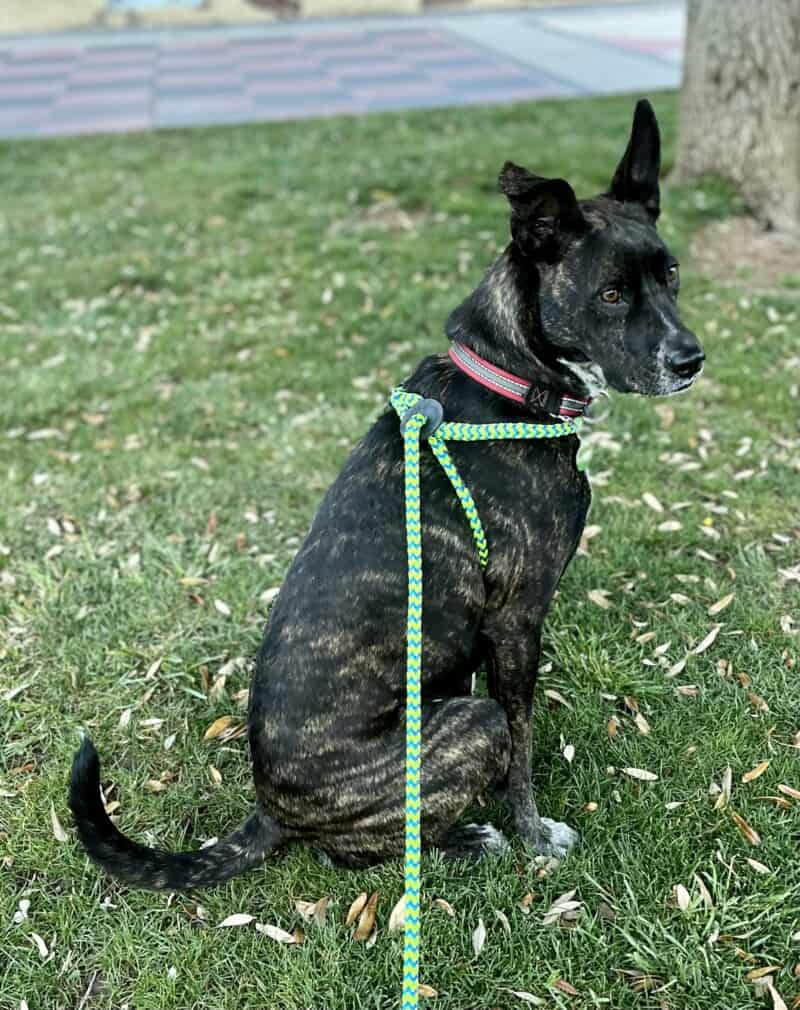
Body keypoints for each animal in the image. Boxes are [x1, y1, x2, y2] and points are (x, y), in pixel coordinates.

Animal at [70, 98, 707, 888]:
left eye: (671, 274)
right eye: (611, 294)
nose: (690, 360)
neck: (507, 380)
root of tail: (270, 810)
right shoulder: (517, 620)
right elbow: (523, 745)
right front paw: (534, 833)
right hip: (463, 726)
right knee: (359, 849)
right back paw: (469, 839)